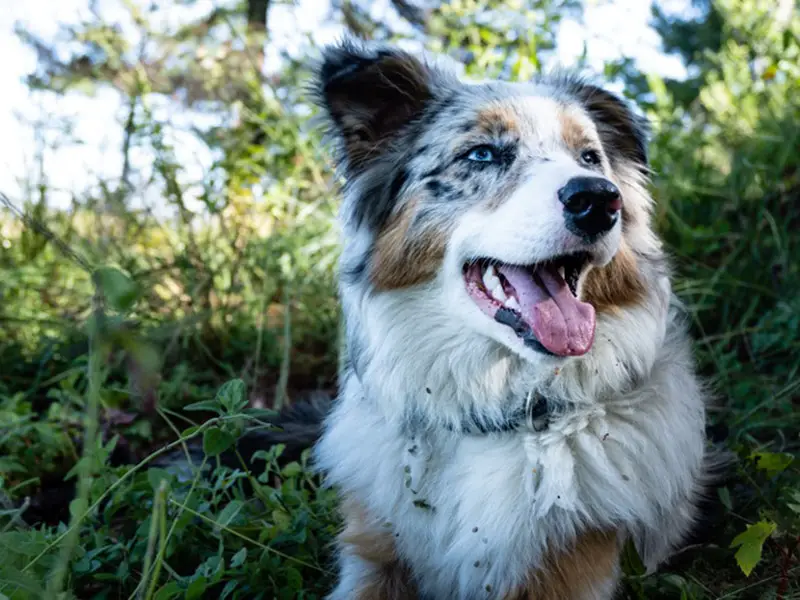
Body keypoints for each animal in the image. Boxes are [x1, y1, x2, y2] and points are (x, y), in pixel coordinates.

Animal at [310, 38, 708, 600]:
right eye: (482, 154)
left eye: (591, 158)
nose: (597, 199)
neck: (497, 409)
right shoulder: (372, 547)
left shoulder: (574, 567)